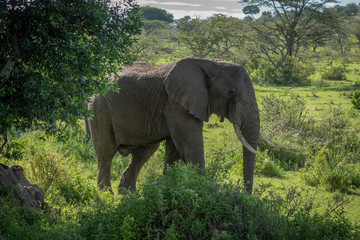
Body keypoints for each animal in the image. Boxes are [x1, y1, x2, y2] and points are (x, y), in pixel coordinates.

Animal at [88, 57, 274, 194]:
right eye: (231, 92)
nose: (245, 195)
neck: (210, 63)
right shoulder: (175, 104)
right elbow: (191, 145)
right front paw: (204, 192)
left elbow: (175, 151)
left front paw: (168, 189)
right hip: (99, 109)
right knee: (106, 152)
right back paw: (106, 195)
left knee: (144, 152)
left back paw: (128, 194)